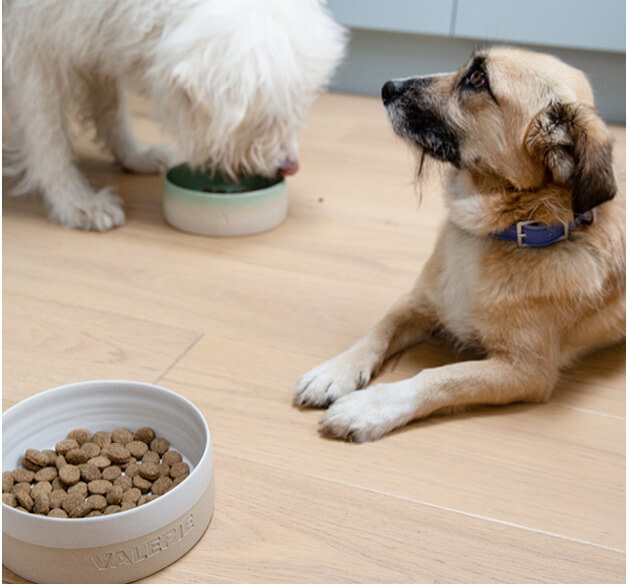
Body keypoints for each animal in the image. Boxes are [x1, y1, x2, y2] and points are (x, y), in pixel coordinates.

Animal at [2, 1, 346, 230]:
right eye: (264, 120)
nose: (291, 167)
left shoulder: (89, 32)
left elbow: (110, 109)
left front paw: (134, 155)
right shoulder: (31, 46)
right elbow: (48, 138)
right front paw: (75, 203)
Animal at [294, 48, 624, 440]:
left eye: (478, 79)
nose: (387, 87)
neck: (494, 233)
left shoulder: (525, 371)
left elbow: (443, 378)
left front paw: (370, 407)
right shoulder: (417, 301)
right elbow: (378, 330)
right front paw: (335, 372)